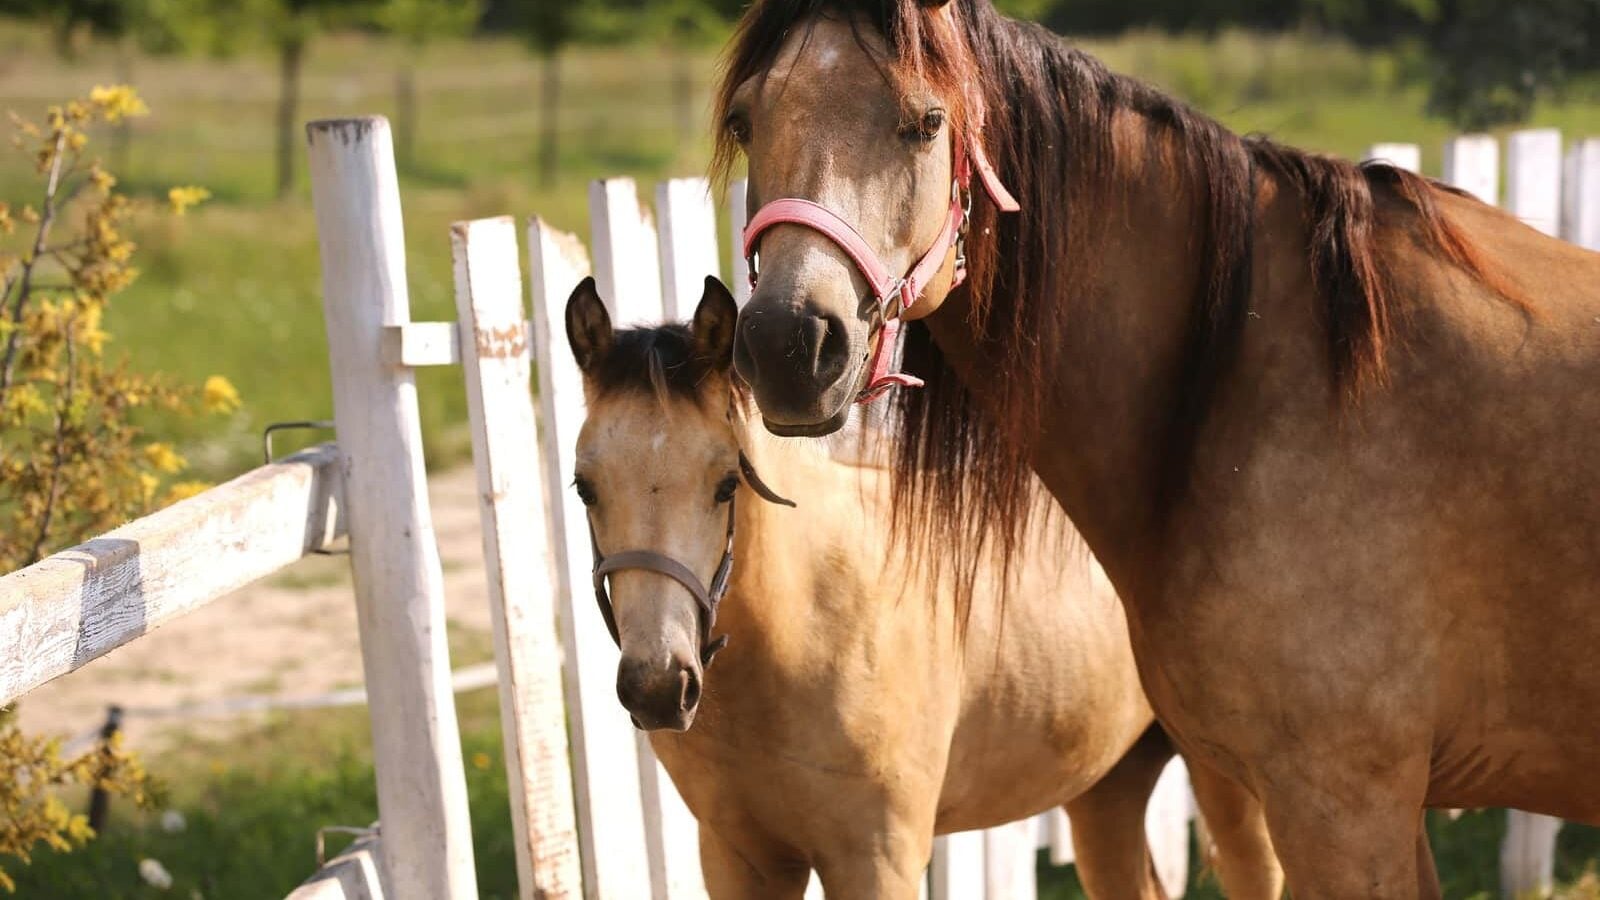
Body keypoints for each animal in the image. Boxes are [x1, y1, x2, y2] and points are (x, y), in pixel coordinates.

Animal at [564, 274, 1284, 899]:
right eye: (584, 487)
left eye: (725, 483)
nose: (659, 686)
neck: (803, 630)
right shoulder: (738, 859)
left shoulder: (877, 860)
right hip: (1107, 787)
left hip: (1230, 792)